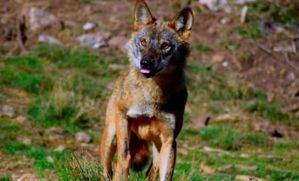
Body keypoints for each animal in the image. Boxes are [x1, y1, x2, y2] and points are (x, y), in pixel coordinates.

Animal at [99, 0, 196, 180]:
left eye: (165, 46)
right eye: (143, 42)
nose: (145, 62)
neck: (153, 96)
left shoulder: (170, 140)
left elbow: (165, 175)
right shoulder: (123, 116)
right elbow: (124, 158)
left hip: (158, 149)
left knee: (151, 172)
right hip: (111, 136)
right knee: (107, 169)